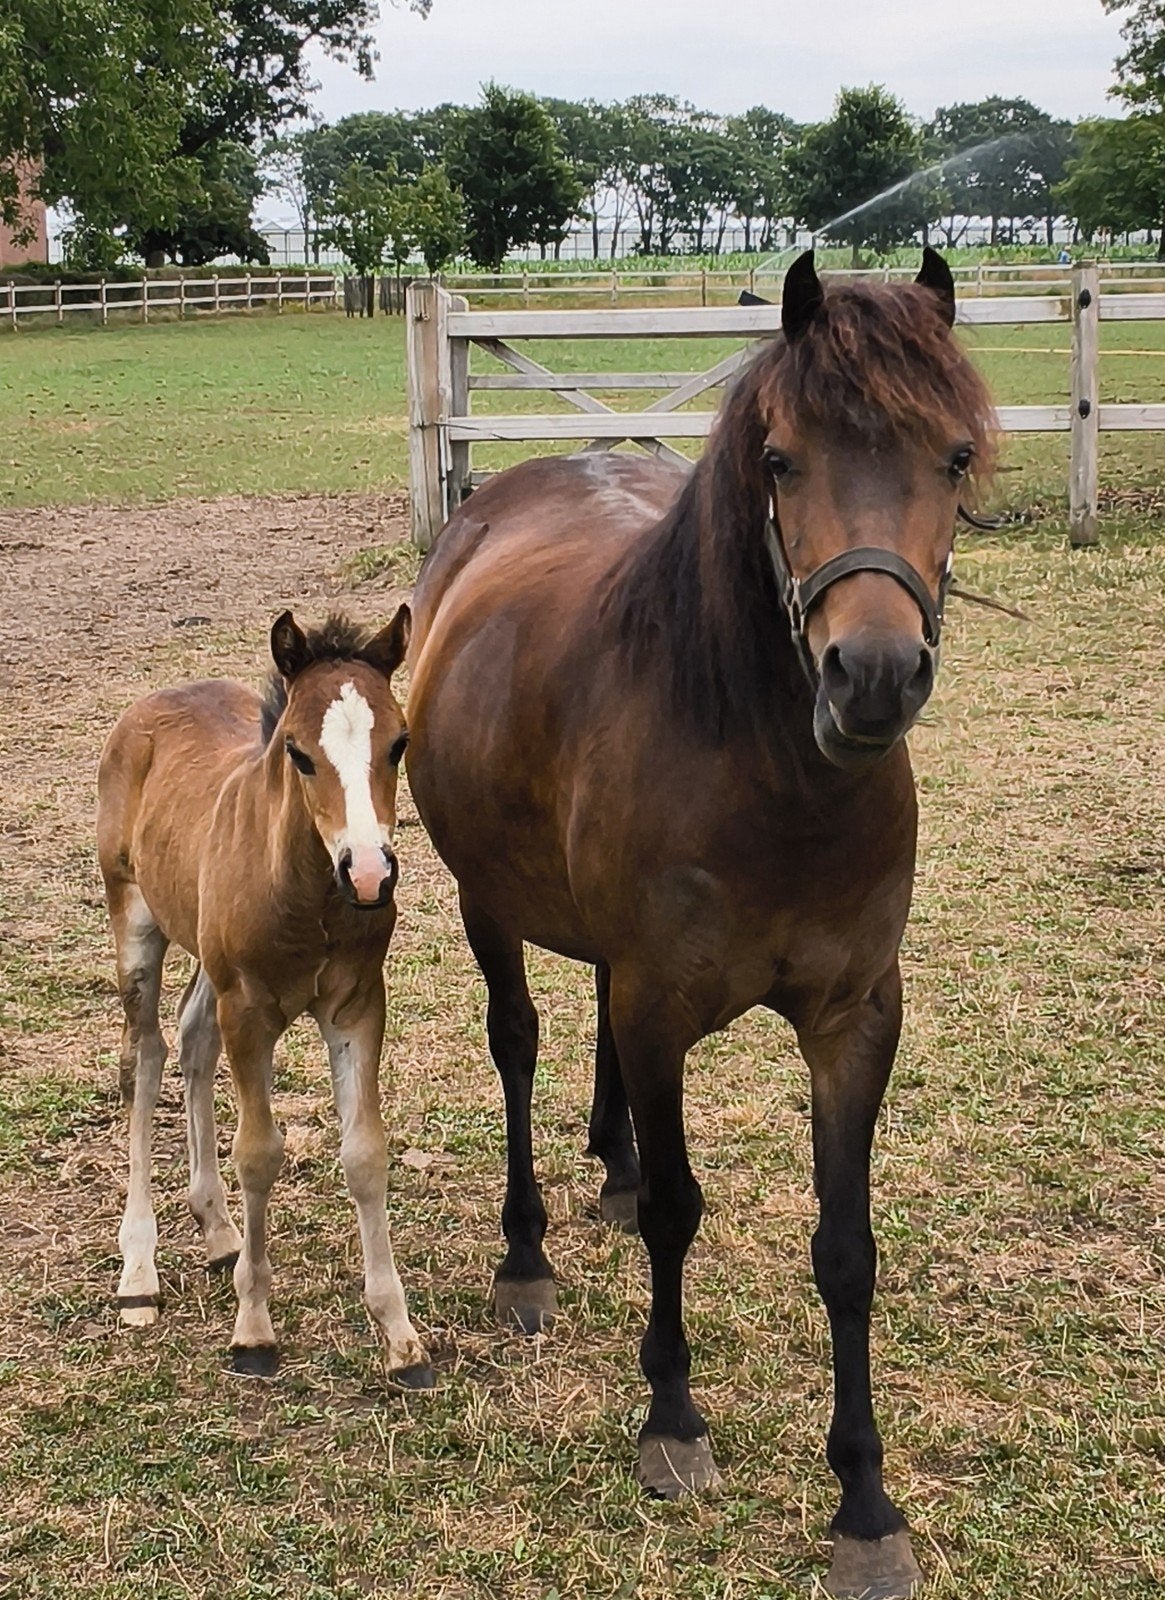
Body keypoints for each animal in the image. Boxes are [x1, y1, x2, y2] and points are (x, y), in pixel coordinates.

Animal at [97, 608, 434, 1387]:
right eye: (298, 753)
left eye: (399, 743)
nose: (369, 873)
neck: (310, 894)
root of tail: (152, 704)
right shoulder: (249, 1010)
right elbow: (258, 1153)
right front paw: (253, 1331)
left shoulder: (356, 1005)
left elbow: (364, 1152)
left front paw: (399, 1335)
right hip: (135, 919)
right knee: (145, 1058)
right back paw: (139, 1273)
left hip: (203, 947)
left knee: (192, 1037)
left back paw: (218, 1230)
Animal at [404, 250, 996, 1597]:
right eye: (779, 459)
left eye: (952, 456)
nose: (870, 677)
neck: (770, 776)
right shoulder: (662, 1000)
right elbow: (683, 1208)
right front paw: (671, 1415)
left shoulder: (852, 1019)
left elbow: (847, 1248)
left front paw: (864, 1500)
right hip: (486, 903)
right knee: (517, 1042)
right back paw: (527, 1255)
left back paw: (611, 1164)